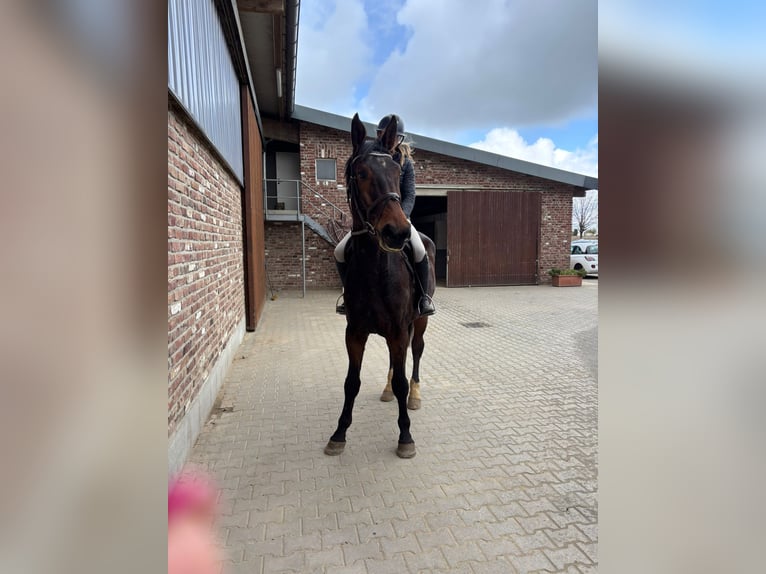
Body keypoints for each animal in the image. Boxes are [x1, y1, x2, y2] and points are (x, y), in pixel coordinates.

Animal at [324, 113, 436, 459]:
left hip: (420, 321)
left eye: (397, 172)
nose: (397, 233)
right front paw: (339, 433)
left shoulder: (399, 329)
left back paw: (414, 396)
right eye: (361, 173)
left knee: (416, 353)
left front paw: (405, 437)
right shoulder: (355, 332)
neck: (376, 268)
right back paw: (386, 390)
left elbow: (401, 379)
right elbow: (351, 382)